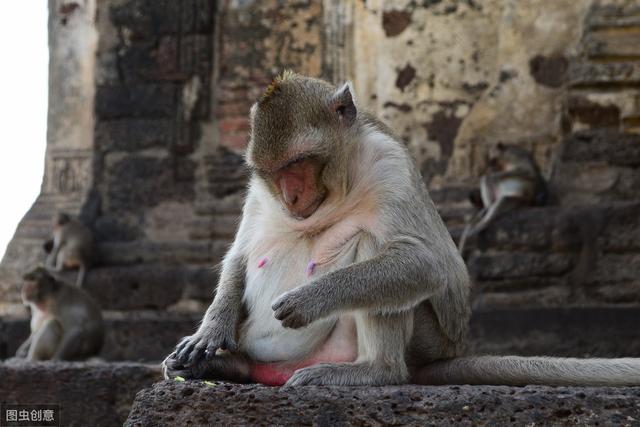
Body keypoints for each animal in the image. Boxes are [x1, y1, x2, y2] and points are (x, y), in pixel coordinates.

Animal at [161, 72, 640, 388]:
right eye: (275, 171)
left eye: (300, 163)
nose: (291, 196)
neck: (339, 182)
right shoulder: (260, 192)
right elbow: (240, 256)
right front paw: (209, 333)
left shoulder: (387, 164)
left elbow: (422, 263)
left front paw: (310, 299)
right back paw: (222, 366)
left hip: (427, 343)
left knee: (380, 257)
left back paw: (375, 371)